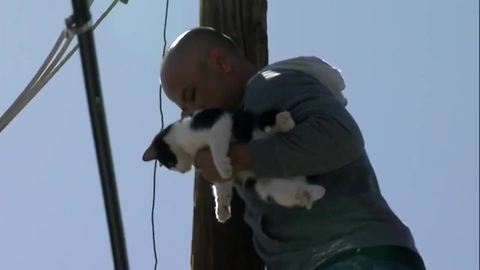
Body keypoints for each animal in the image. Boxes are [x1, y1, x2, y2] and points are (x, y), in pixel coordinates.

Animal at [141, 108, 324, 223]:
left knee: (267, 128)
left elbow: (216, 146)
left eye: (169, 162)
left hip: (249, 125)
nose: (183, 171)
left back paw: (283, 122)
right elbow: (222, 188)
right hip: (268, 187)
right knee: (291, 193)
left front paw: (222, 166)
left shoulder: (218, 121)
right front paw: (222, 209)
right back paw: (311, 194)